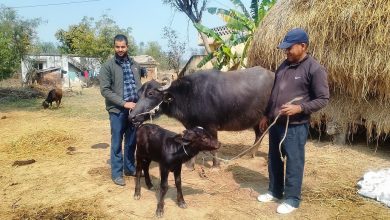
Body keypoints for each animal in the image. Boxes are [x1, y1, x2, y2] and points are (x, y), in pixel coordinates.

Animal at [129, 65, 274, 167]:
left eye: (151, 93)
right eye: (139, 94)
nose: (132, 117)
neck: (188, 94)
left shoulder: (211, 127)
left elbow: (214, 148)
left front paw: (215, 165)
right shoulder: (192, 127)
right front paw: (190, 165)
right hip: (257, 119)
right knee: (259, 134)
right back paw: (250, 154)